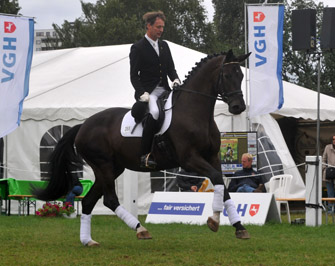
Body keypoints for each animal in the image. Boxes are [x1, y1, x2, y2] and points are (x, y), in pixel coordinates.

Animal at [32, 50, 251, 245]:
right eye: (227, 75)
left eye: (241, 75)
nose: (238, 107)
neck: (194, 112)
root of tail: (83, 126)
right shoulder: (189, 159)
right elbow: (215, 178)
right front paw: (214, 220)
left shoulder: (213, 157)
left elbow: (223, 186)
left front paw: (239, 227)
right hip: (103, 165)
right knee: (110, 200)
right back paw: (140, 229)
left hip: (112, 168)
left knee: (88, 201)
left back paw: (88, 241)